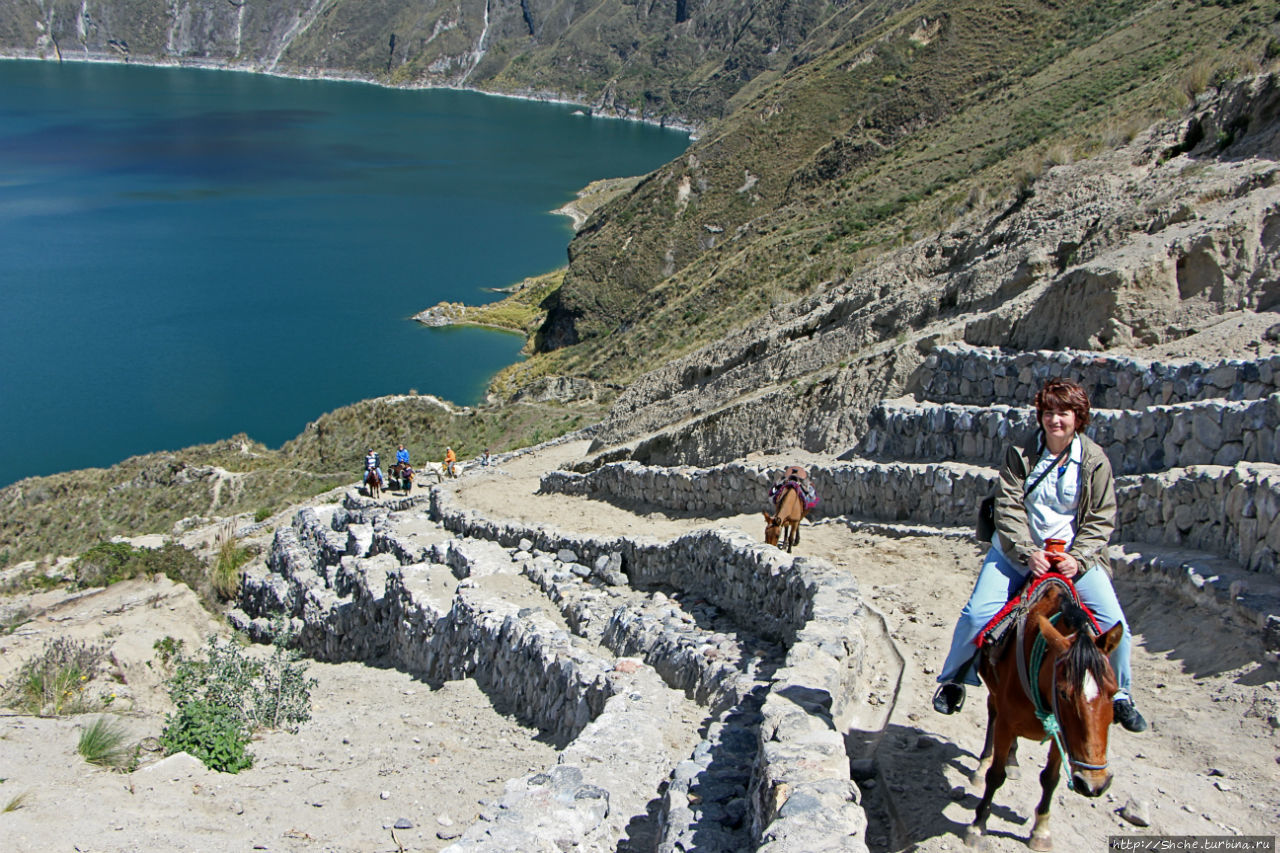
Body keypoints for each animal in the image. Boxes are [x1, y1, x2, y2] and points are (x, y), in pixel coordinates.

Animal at [967, 581, 1121, 845]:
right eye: (1063, 693)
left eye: (1113, 692)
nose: (1093, 784)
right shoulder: (1006, 724)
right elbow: (995, 775)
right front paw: (978, 825)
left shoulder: (1062, 733)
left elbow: (1050, 779)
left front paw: (1041, 830)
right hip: (995, 694)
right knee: (992, 711)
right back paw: (983, 763)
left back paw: (1013, 760)